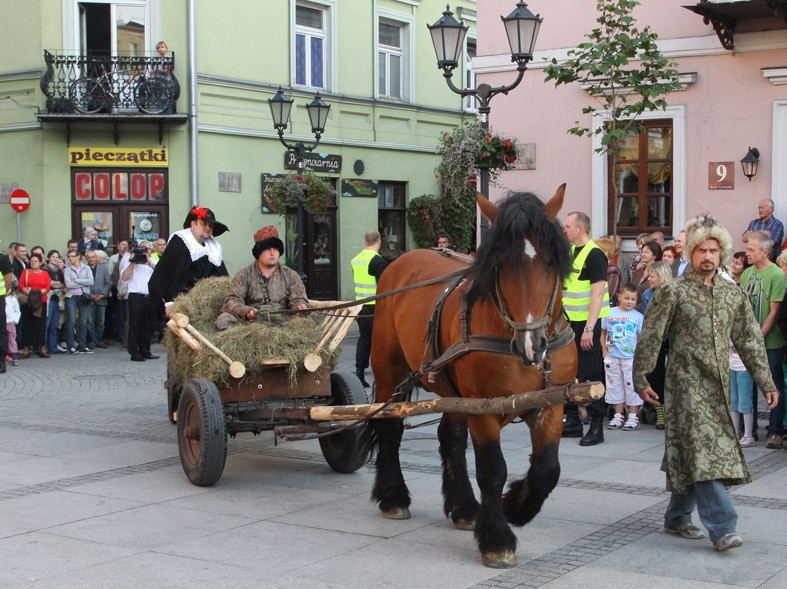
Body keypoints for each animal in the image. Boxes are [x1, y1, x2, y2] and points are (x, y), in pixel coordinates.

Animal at [370, 186, 580, 568]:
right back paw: (394, 497)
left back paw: (464, 507)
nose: (533, 344)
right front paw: (497, 538)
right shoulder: (483, 407)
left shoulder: (552, 403)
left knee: (450, 438)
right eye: (501, 264)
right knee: (390, 428)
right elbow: (492, 469)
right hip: (388, 368)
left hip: (452, 390)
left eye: (549, 261)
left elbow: (547, 469)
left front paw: (517, 505)